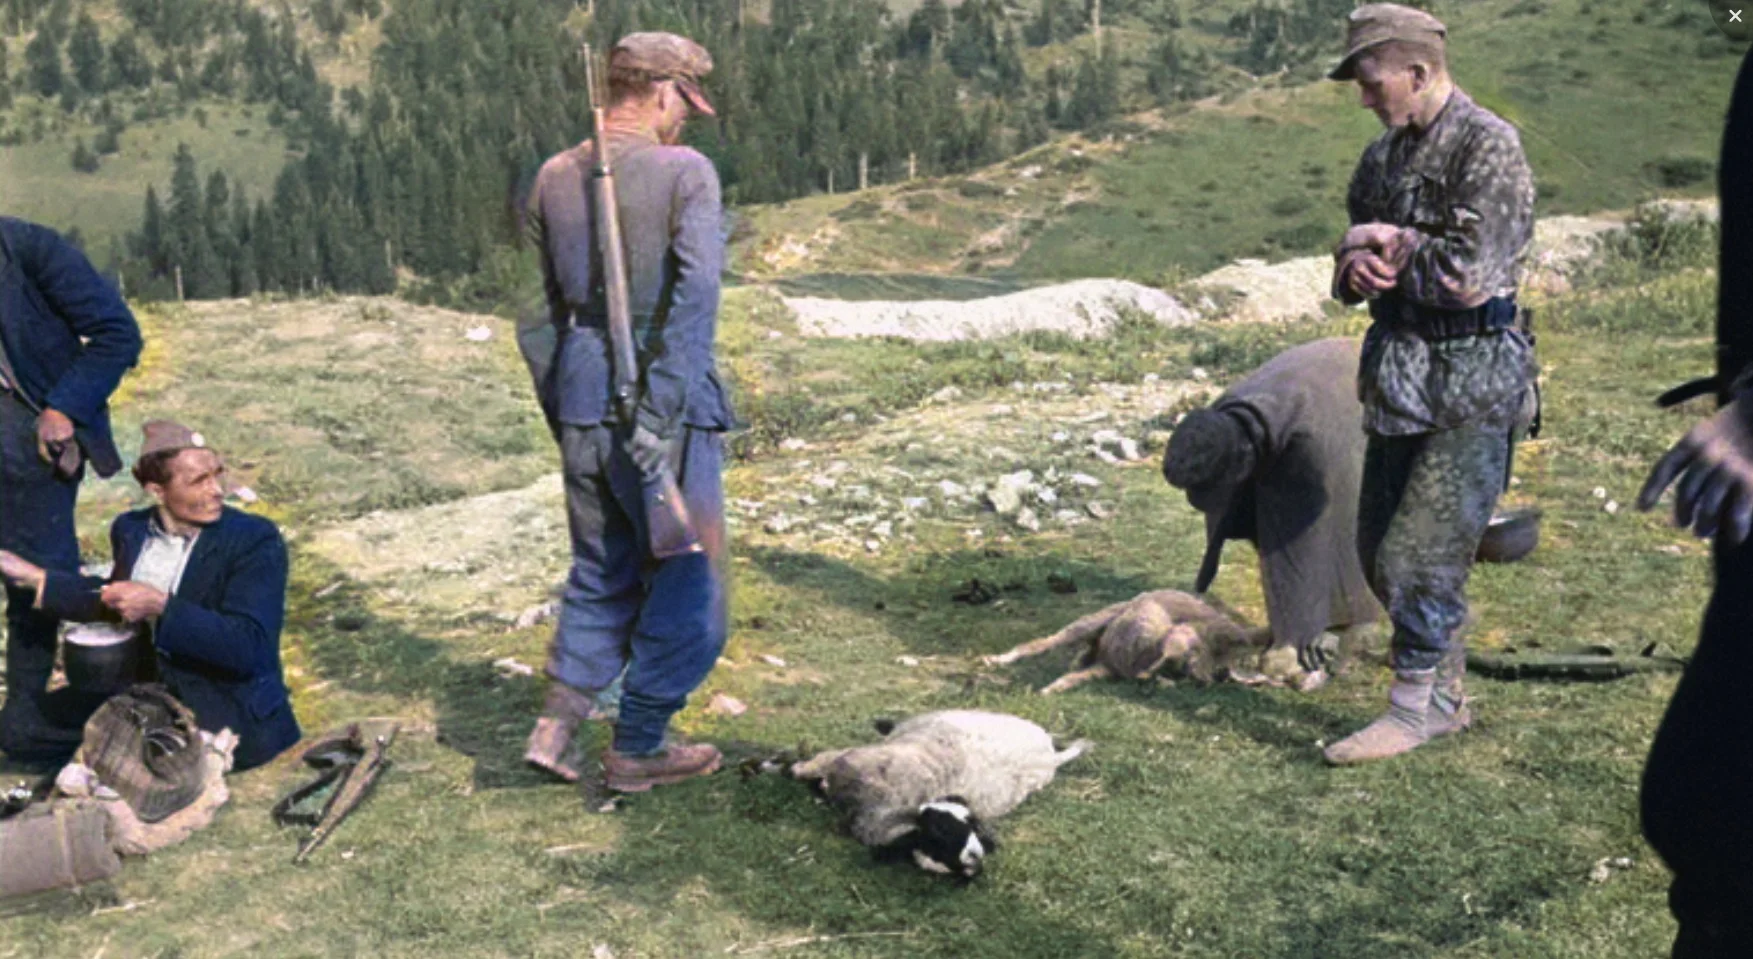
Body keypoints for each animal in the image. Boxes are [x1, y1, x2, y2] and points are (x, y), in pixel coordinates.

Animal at [792, 708, 1086, 883]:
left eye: (936, 839)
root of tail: (1050, 752)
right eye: (941, 833)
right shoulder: (849, 759)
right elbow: (815, 764)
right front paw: (798, 768)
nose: (972, 860)